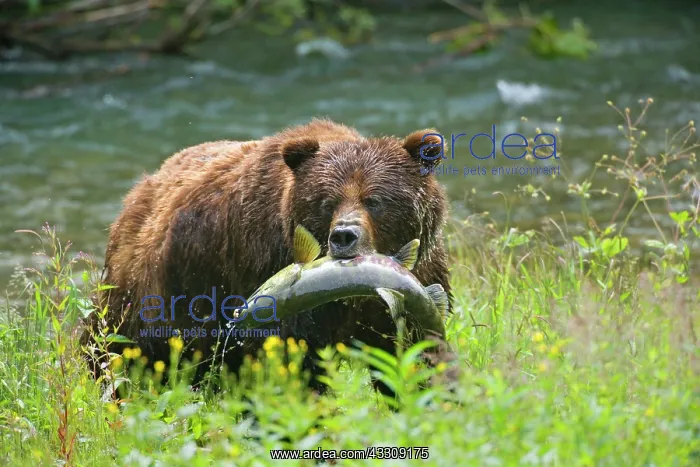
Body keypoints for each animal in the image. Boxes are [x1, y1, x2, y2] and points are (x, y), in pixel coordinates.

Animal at [80, 118, 452, 394]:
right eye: (327, 202)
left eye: (375, 200)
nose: (344, 236)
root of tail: (137, 194)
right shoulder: (262, 262)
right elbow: (292, 361)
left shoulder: (414, 282)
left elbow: (414, 348)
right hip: (147, 298)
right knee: (116, 352)